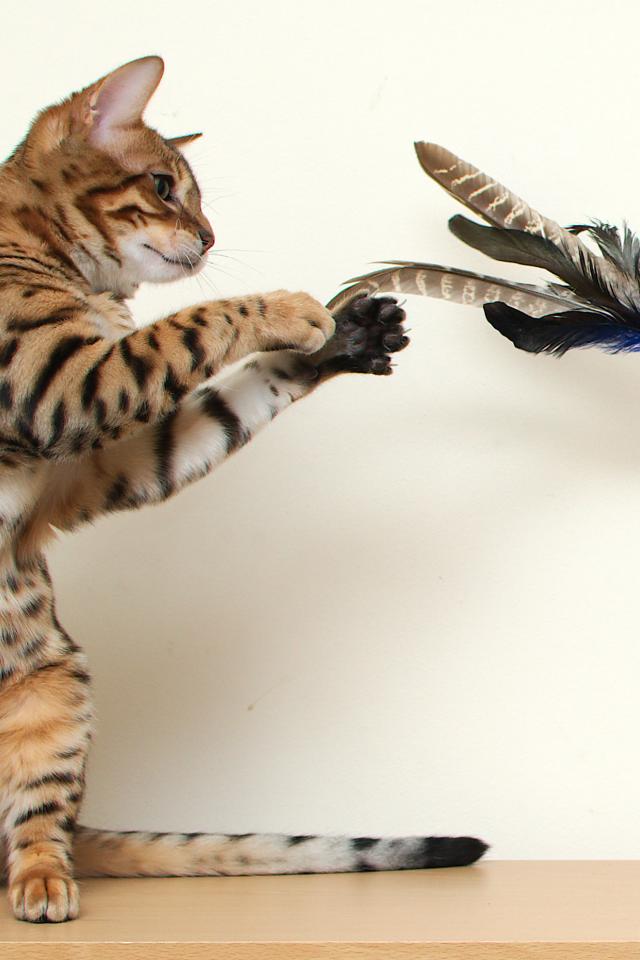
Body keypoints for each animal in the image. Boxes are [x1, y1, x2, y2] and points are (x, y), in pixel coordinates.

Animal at [0, 56, 487, 923]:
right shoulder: (54, 384)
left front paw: (342, 337)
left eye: (190, 194)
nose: (208, 239)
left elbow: (222, 394)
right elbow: (191, 324)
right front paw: (292, 308)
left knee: (39, 822)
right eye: (163, 185)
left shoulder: (91, 462)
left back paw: (46, 876)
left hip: (54, 689)